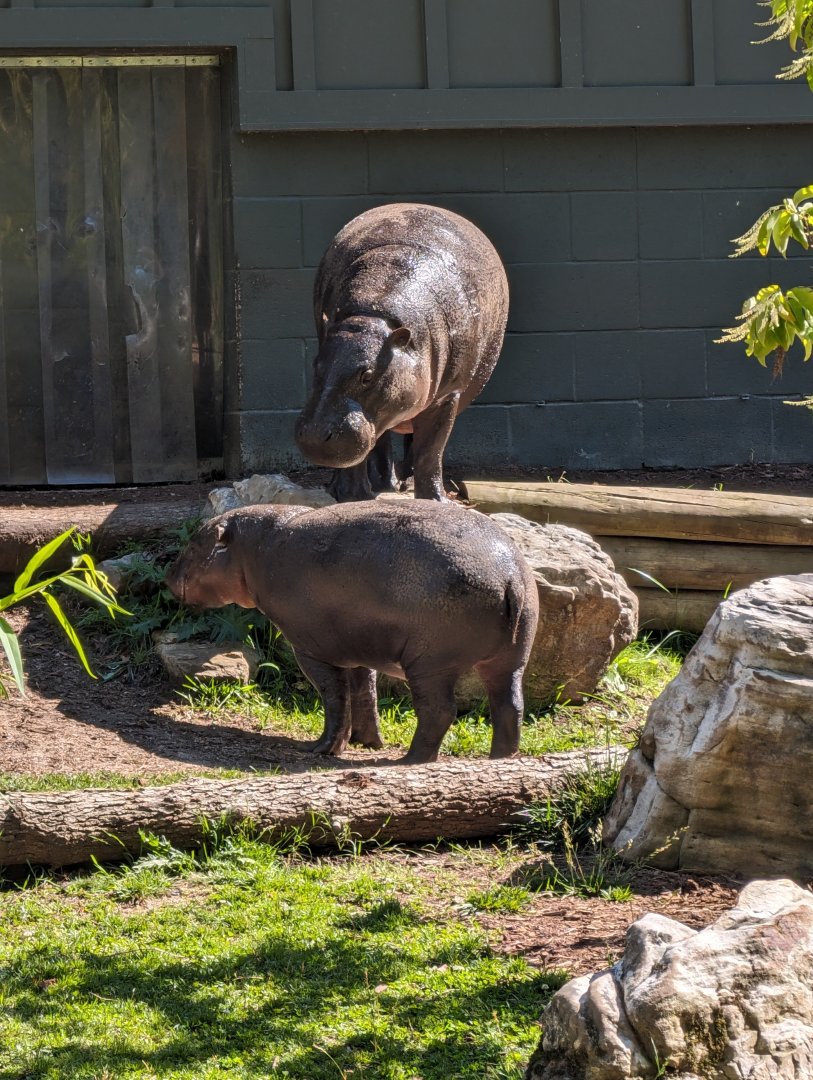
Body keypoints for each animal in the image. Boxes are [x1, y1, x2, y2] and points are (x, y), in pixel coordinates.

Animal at [166, 501, 538, 764]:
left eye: (195, 545)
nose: (167, 576)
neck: (254, 549)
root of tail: (510, 576)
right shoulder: (359, 645)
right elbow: (364, 692)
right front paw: (368, 742)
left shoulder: (310, 650)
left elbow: (334, 697)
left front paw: (322, 749)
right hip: (510, 660)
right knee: (510, 706)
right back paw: (500, 760)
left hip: (431, 663)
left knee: (439, 711)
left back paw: (410, 761)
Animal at [295, 203, 509, 502]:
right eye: (316, 365)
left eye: (367, 375)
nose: (314, 437)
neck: (373, 314)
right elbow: (359, 456)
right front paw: (352, 497)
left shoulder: (446, 397)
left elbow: (429, 451)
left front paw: (436, 501)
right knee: (380, 440)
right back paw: (380, 484)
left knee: (410, 444)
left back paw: (400, 483)